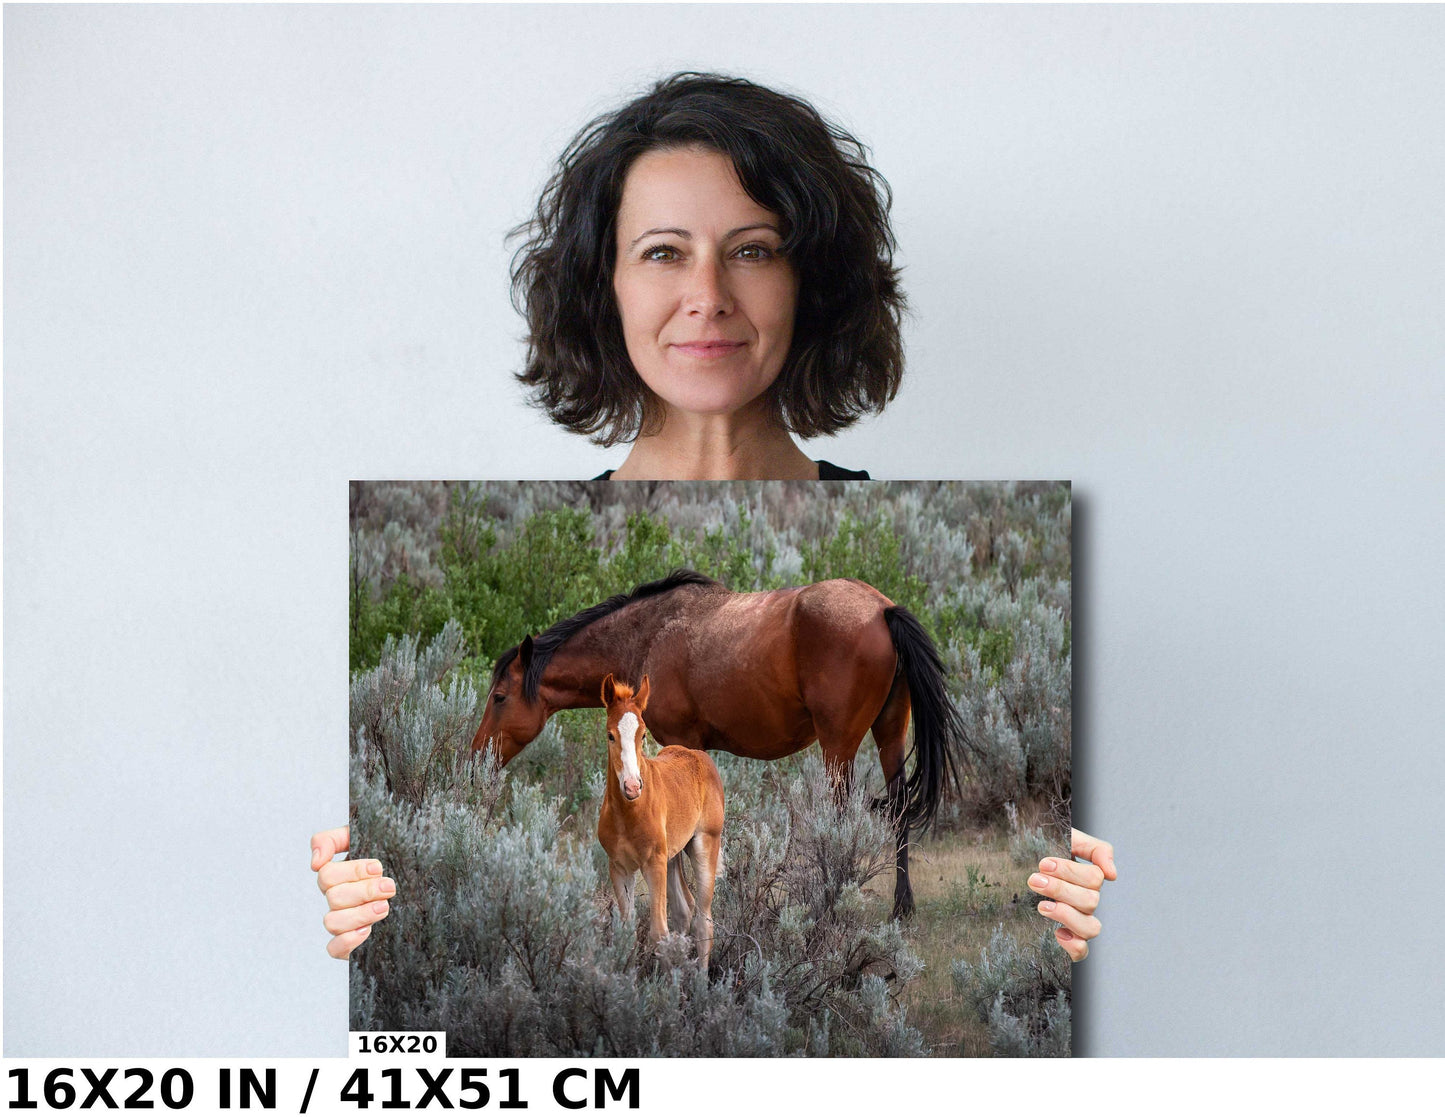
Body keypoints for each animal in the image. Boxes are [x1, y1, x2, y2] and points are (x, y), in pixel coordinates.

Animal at [476, 566, 971, 913]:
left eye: (499, 697)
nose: (478, 755)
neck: (649, 634)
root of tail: (882, 610)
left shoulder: (680, 742)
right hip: (890, 734)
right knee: (899, 809)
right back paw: (901, 907)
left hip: (838, 746)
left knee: (840, 819)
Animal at [595, 670, 722, 965]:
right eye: (610, 735)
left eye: (643, 735)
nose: (632, 786)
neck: (627, 814)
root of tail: (698, 755)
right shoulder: (619, 867)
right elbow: (627, 934)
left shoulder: (653, 864)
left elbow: (658, 934)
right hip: (673, 856)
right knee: (684, 910)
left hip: (704, 845)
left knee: (703, 923)